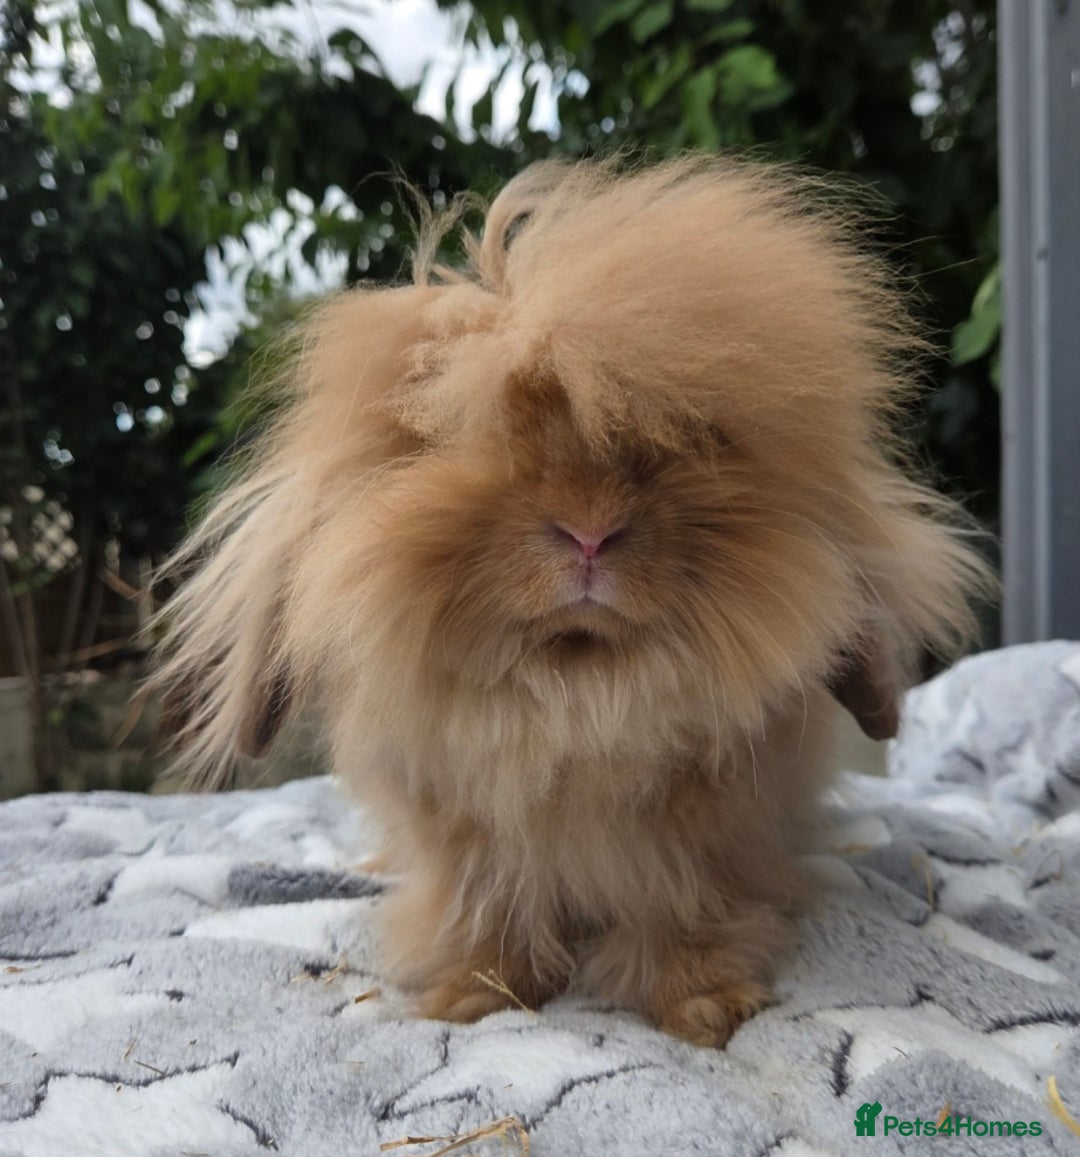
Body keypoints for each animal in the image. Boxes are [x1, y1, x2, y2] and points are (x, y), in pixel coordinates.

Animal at [151, 156, 992, 1046]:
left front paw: (706, 1007)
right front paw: (471, 995)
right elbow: (482, 907)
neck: (577, 697)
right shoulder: (463, 840)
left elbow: (685, 908)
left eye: (699, 438)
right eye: (442, 436)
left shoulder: (705, 844)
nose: (589, 529)